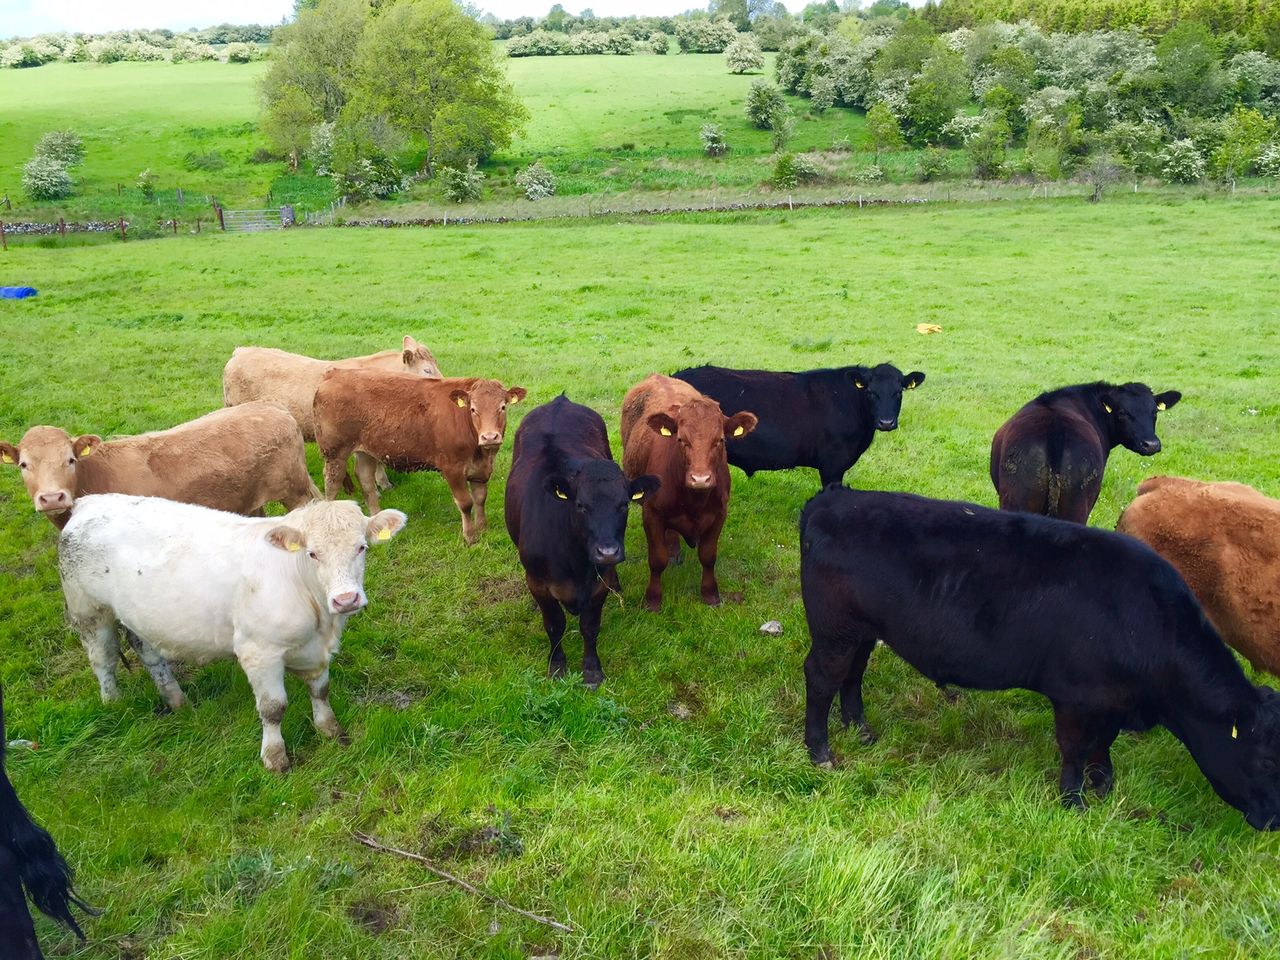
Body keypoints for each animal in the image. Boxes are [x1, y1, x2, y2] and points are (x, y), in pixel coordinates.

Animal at [58, 494, 406, 771]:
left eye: (361, 547)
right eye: (312, 553)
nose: (346, 599)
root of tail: (88, 502)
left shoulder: (315, 648)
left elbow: (320, 690)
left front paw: (330, 730)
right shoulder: (258, 652)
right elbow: (273, 708)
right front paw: (275, 758)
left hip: (139, 616)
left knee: (146, 650)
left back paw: (177, 701)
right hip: (90, 610)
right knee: (103, 659)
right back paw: (114, 704)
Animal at [313, 371, 526, 544]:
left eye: (503, 407)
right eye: (473, 409)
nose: (490, 437)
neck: (480, 453)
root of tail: (332, 376)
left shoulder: (481, 469)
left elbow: (481, 498)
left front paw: (482, 528)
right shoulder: (452, 468)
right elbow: (466, 503)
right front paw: (470, 537)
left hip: (365, 451)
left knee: (366, 482)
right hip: (335, 452)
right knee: (332, 484)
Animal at [505, 396, 659, 687]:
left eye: (624, 504)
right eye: (580, 505)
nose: (608, 552)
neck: (574, 562)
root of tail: (560, 400)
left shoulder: (598, 586)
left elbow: (590, 627)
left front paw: (591, 669)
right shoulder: (539, 583)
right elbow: (554, 624)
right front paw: (557, 665)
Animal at [620, 374, 757, 611]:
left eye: (720, 440)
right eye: (681, 440)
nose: (700, 479)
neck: (694, 501)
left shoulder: (719, 514)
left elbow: (708, 556)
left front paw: (711, 595)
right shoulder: (652, 514)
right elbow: (657, 559)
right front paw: (652, 600)